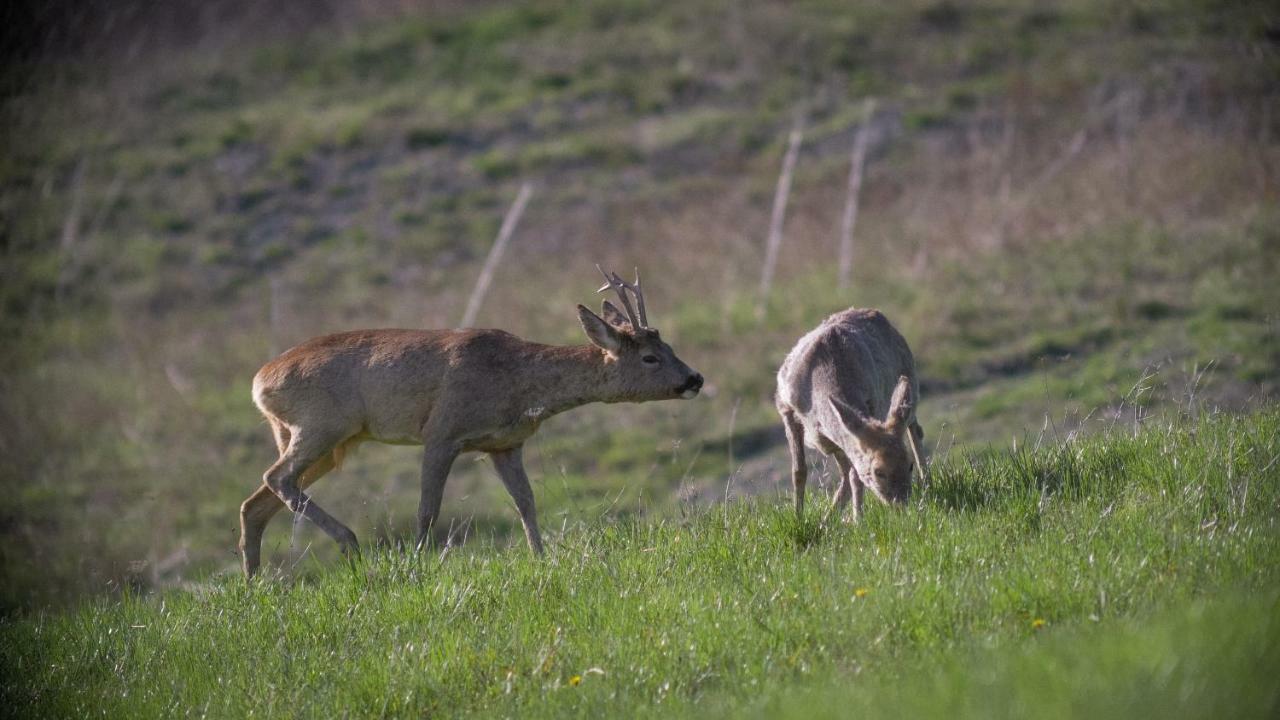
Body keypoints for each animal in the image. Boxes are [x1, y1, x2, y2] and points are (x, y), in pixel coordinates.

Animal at [238, 266, 701, 573]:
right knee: (276, 478)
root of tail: (259, 381)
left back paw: (256, 583)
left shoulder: (505, 443)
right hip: (321, 424)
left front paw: (540, 558)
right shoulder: (443, 431)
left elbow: (526, 502)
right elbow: (428, 508)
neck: (516, 381)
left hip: (324, 441)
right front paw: (418, 566)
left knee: (256, 502)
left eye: (670, 347)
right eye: (650, 357)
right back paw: (349, 542)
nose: (695, 378)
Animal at [773, 304, 926, 517]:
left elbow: (855, 474)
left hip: (910, 374)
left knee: (914, 428)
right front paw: (798, 516)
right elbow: (799, 471)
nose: (902, 506)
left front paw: (857, 519)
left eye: (909, 465)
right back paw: (827, 519)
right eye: (878, 472)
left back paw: (927, 482)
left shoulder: (872, 404)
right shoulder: (784, 405)